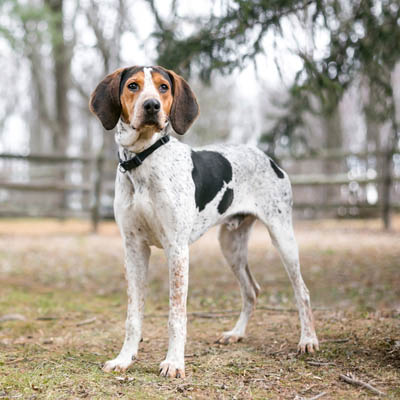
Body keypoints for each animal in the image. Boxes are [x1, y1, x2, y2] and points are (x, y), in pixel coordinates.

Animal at [90, 65, 318, 378]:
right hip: (231, 246)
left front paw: (174, 362)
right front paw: (124, 358)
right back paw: (236, 333)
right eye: (133, 86)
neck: (143, 159)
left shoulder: (177, 249)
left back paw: (308, 340)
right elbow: (133, 314)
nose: (152, 106)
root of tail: (268, 158)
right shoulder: (134, 248)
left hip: (282, 237)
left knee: (302, 292)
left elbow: (176, 314)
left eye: (163, 87)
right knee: (251, 290)